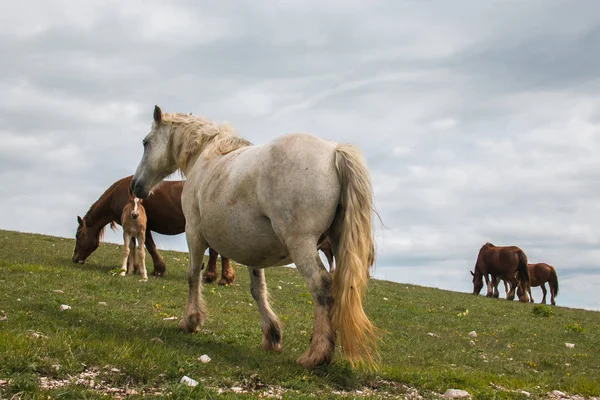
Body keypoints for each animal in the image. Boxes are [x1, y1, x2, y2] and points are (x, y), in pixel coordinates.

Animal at [72, 175, 234, 284]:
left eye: (78, 236)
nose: (74, 259)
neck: (118, 195)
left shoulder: (144, 227)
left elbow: (149, 246)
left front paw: (158, 269)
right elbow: (133, 246)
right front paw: (134, 268)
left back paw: (215, 276)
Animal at [130, 105, 380, 368]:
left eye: (146, 142)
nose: (135, 186)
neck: (206, 157)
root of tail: (333, 151)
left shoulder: (194, 234)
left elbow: (192, 277)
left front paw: (191, 320)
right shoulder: (252, 250)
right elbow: (257, 289)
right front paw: (271, 335)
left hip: (301, 244)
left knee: (320, 285)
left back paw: (316, 354)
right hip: (339, 244)